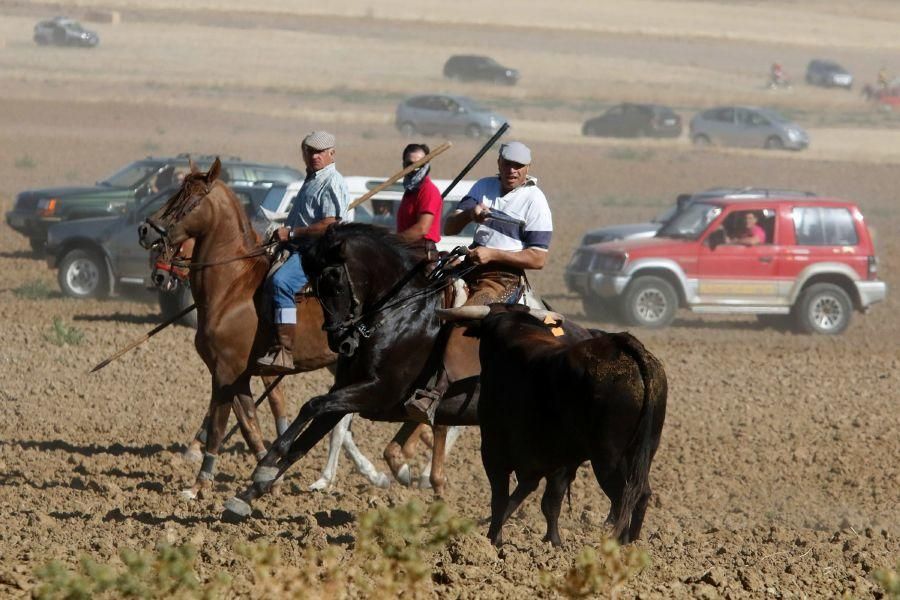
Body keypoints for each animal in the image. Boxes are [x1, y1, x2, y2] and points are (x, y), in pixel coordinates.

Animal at [140, 159, 458, 496]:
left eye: (189, 199)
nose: (145, 229)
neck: (232, 288)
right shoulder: (237, 375)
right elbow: (249, 424)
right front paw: (266, 475)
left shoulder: (227, 371)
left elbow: (219, 424)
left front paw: (199, 485)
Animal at [221, 224, 580, 516]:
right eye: (312, 281)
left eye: (335, 280)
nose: (339, 339)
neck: (400, 315)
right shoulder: (347, 391)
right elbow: (306, 439)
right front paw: (248, 494)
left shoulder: (378, 392)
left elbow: (312, 405)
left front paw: (265, 464)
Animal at [440, 308, 664, 548]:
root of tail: (623, 346)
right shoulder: (560, 462)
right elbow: (548, 502)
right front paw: (553, 541)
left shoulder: (494, 452)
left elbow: (501, 498)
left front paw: (494, 539)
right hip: (641, 454)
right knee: (641, 494)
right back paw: (633, 542)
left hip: (609, 459)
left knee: (623, 498)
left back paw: (619, 543)